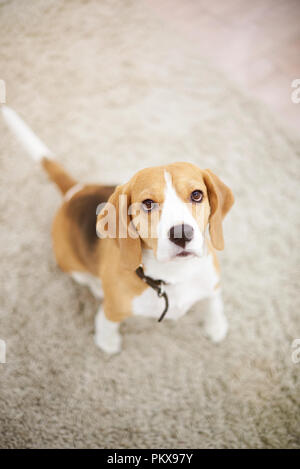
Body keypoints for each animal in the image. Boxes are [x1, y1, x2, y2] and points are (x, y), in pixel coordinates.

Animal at [1, 106, 234, 352]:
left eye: (197, 194)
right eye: (148, 203)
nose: (182, 234)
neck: (174, 275)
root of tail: (76, 191)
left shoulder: (212, 281)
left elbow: (214, 302)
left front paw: (216, 326)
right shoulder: (112, 310)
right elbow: (106, 324)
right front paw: (108, 342)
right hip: (68, 261)